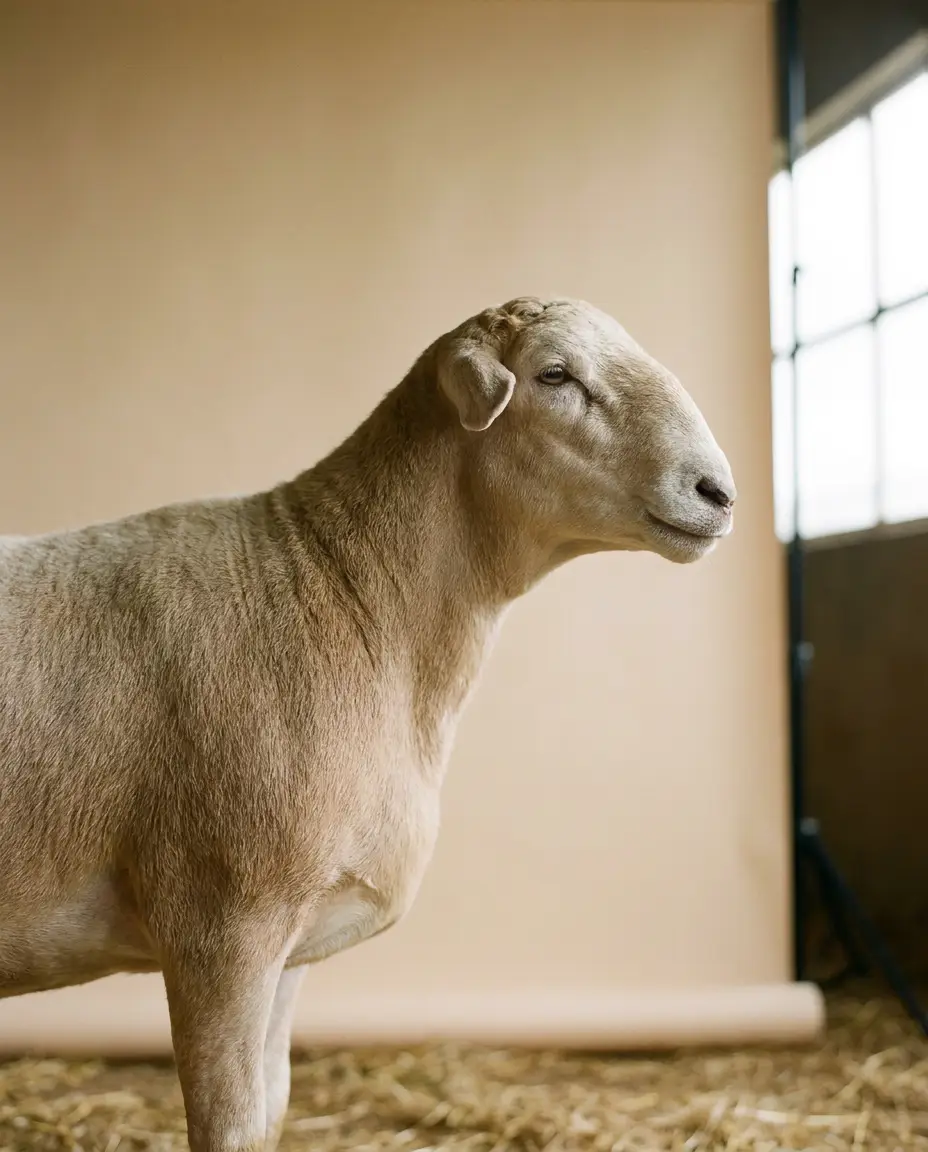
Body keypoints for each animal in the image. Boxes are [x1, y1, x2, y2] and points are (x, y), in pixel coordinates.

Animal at [0, 296, 736, 1151]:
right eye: (554, 374)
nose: (718, 492)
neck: (344, 590)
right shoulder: (219, 925)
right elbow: (230, 1126)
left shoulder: (289, 948)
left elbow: (269, 1111)